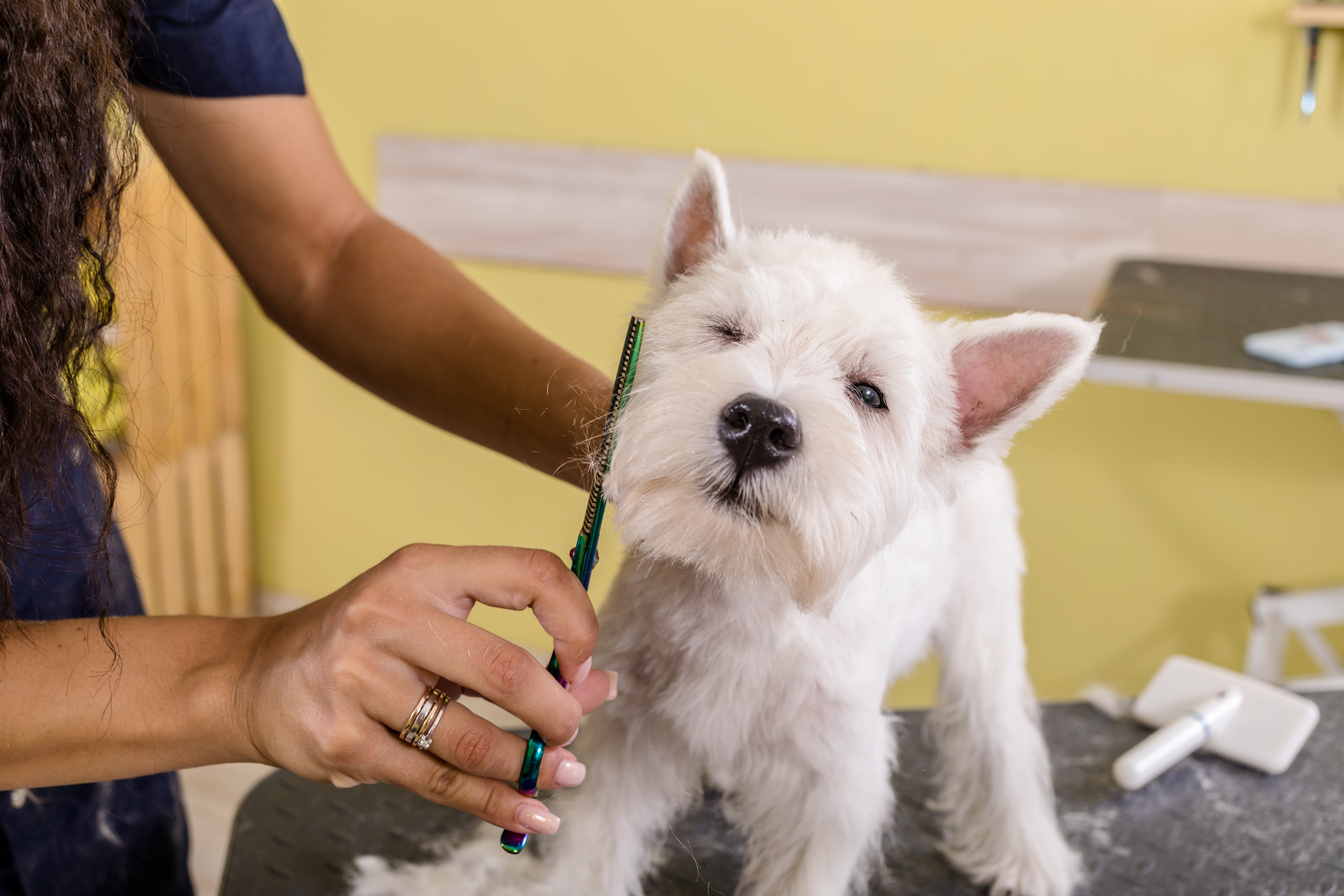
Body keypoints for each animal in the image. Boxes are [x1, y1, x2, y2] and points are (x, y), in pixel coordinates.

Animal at [352, 152, 1096, 896]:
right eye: (727, 331)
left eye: (869, 393)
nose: (762, 423)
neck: (739, 585)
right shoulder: (627, 732)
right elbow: (594, 844)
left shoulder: (828, 788)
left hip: (983, 617)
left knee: (997, 729)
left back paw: (1028, 855)